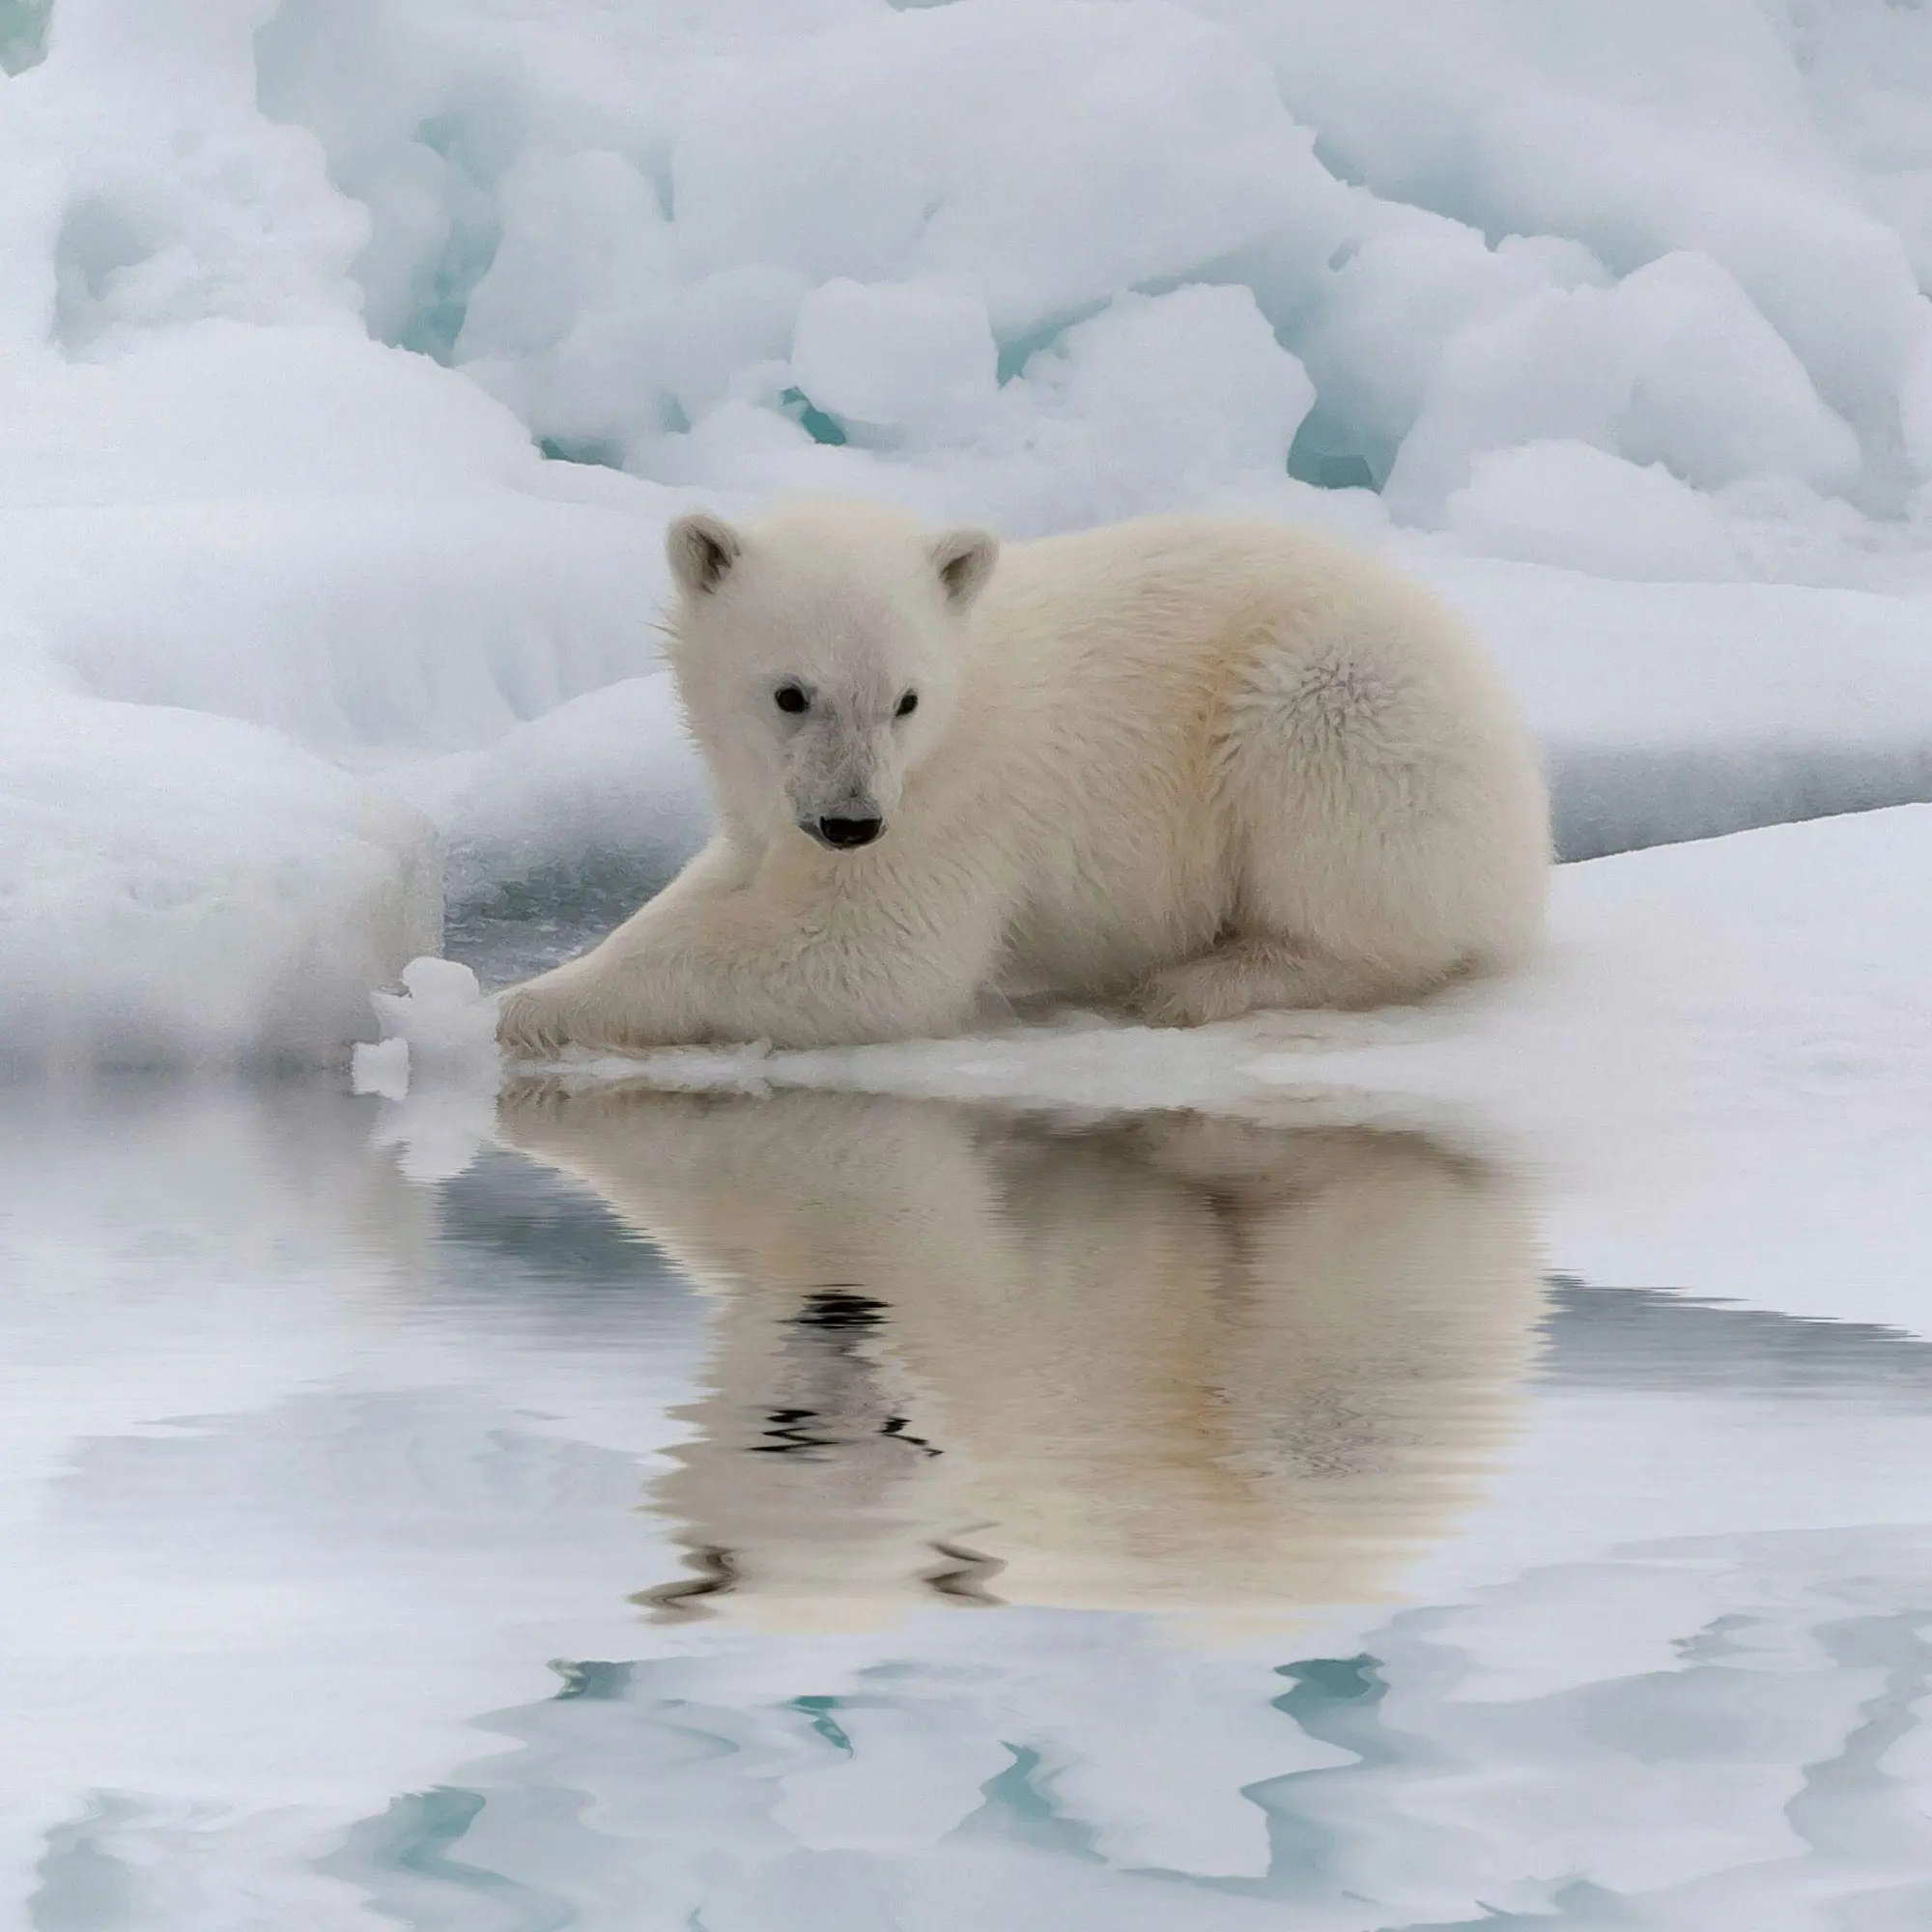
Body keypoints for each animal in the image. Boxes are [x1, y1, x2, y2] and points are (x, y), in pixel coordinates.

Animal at [495, 498, 1550, 1056]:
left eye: (905, 700)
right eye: (791, 693)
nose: (851, 823)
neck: (966, 679)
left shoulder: (956, 805)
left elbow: (867, 958)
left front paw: (527, 1008)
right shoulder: (781, 805)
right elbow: (717, 882)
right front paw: (554, 977)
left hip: (1338, 698)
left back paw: (1203, 981)